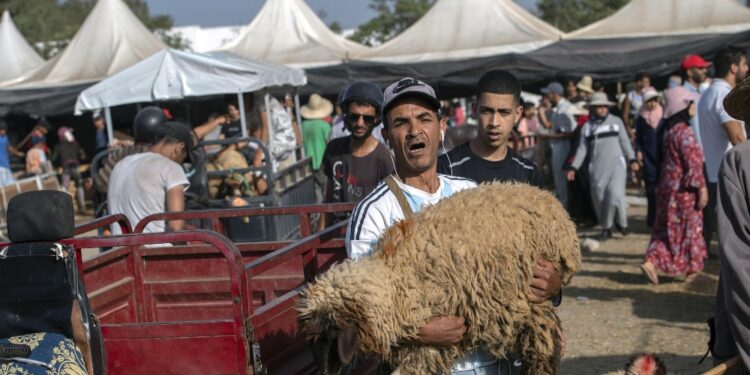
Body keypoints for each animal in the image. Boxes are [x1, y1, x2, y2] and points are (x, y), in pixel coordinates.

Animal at [296, 181, 584, 374]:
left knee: (543, 344)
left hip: (529, 295)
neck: (393, 278)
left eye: (329, 340)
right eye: (313, 344)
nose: (324, 372)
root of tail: (547, 197)